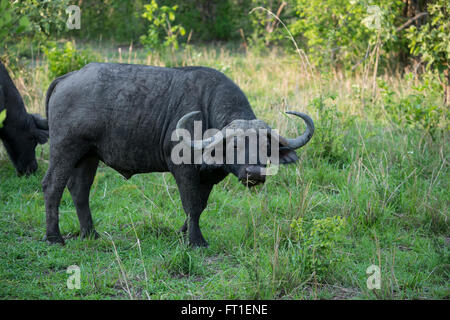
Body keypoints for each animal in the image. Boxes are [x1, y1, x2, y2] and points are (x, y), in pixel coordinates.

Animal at [44, 63, 314, 248]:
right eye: (234, 146)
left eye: (266, 147)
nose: (254, 173)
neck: (206, 112)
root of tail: (67, 77)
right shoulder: (183, 171)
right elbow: (191, 204)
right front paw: (196, 240)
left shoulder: (207, 177)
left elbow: (200, 205)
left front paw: (184, 232)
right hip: (65, 148)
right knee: (52, 186)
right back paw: (54, 237)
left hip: (89, 155)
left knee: (80, 190)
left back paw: (91, 233)